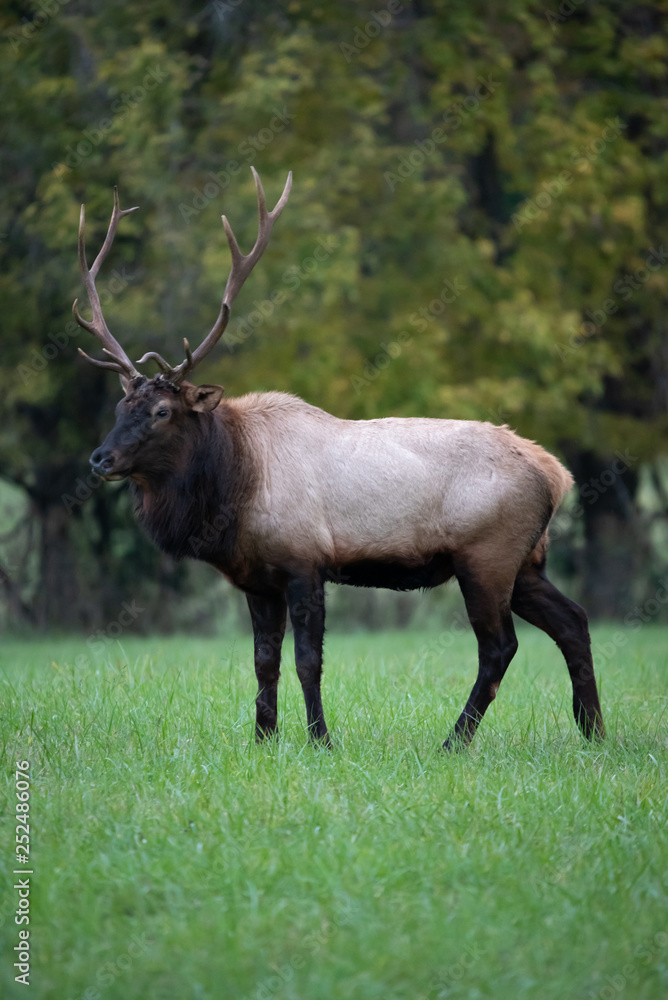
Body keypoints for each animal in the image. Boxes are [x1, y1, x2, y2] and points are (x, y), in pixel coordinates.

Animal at [74, 172, 604, 752]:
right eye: (120, 407)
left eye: (163, 410)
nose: (100, 458)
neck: (234, 487)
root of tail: (557, 473)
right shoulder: (258, 578)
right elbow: (263, 663)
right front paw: (262, 739)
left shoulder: (305, 559)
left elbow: (308, 662)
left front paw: (320, 740)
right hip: (527, 560)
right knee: (574, 620)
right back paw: (593, 730)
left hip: (486, 553)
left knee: (500, 646)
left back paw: (454, 742)